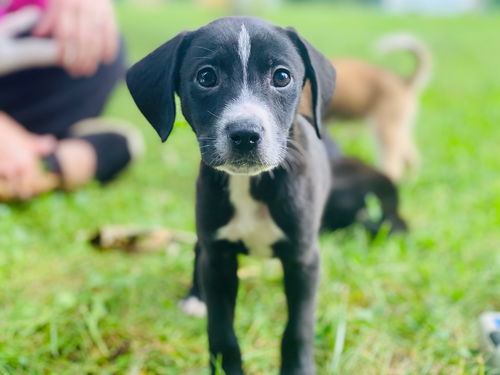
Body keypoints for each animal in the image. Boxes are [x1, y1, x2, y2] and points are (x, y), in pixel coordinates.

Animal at [126, 16, 406, 375]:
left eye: (282, 77)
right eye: (206, 77)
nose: (245, 135)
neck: (251, 185)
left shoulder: (304, 259)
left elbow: (298, 328)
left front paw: (298, 369)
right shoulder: (218, 258)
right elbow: (221, 331)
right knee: (198, 249)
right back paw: (194, 297)